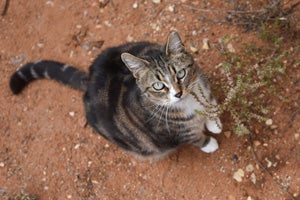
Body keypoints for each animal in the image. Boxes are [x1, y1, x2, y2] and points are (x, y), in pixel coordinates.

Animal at [9, 30, 221, 159]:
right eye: (158, 85)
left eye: (181, 74)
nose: (178, 93)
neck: (189, 103)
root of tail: (90, 80)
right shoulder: (180, 133)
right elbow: (195, 138)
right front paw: (210, 143)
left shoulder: (205, 91)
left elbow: (211, 106)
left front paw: (214, 123)